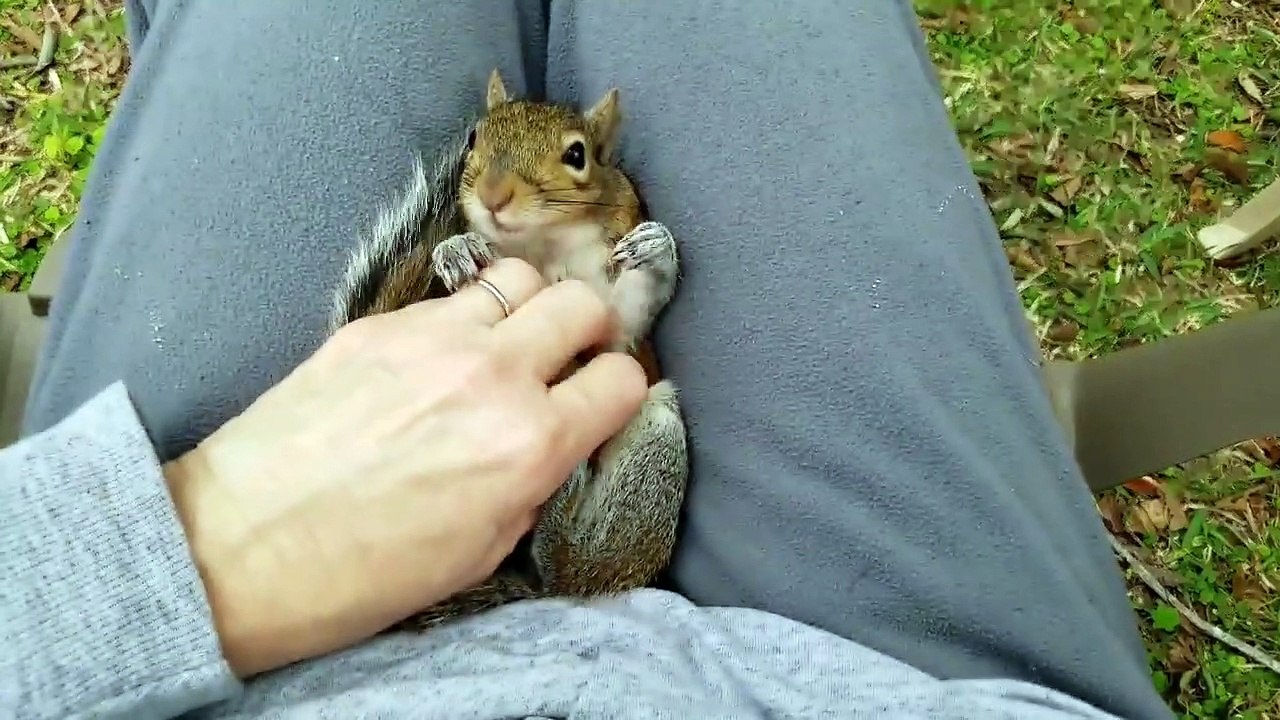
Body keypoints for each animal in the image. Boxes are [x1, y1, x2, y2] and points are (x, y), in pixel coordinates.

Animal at [329, 69, 690, 631]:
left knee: (575, 568)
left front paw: (656, 247)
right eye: (475, 138)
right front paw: (454, 251)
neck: (543, 249)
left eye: (578, 154)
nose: (494, 194)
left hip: (659, 423)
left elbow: (627, 317)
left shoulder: (618, 335)